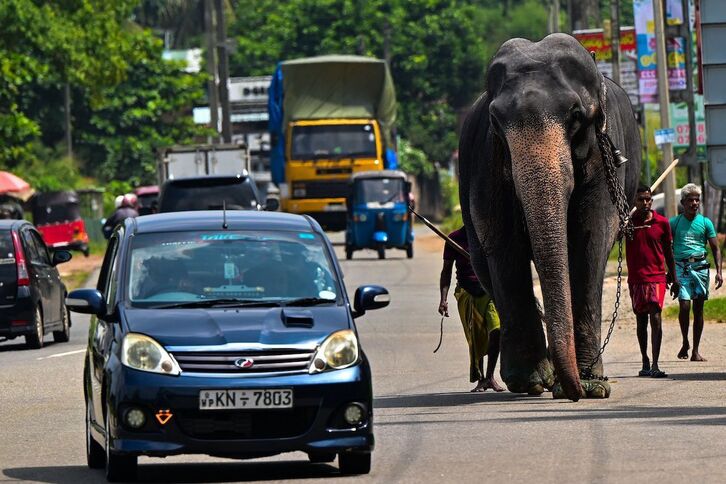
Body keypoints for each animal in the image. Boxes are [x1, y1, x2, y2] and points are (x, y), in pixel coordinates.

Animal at [459, 33, 641, 401]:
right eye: (496, 121)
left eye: (576, 116)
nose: (571, 392)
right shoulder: (487, 156)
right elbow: (504, 243)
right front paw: (530, 382)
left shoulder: (603, 154)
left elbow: (590, 239)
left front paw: (592, 386)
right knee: (484, 263)